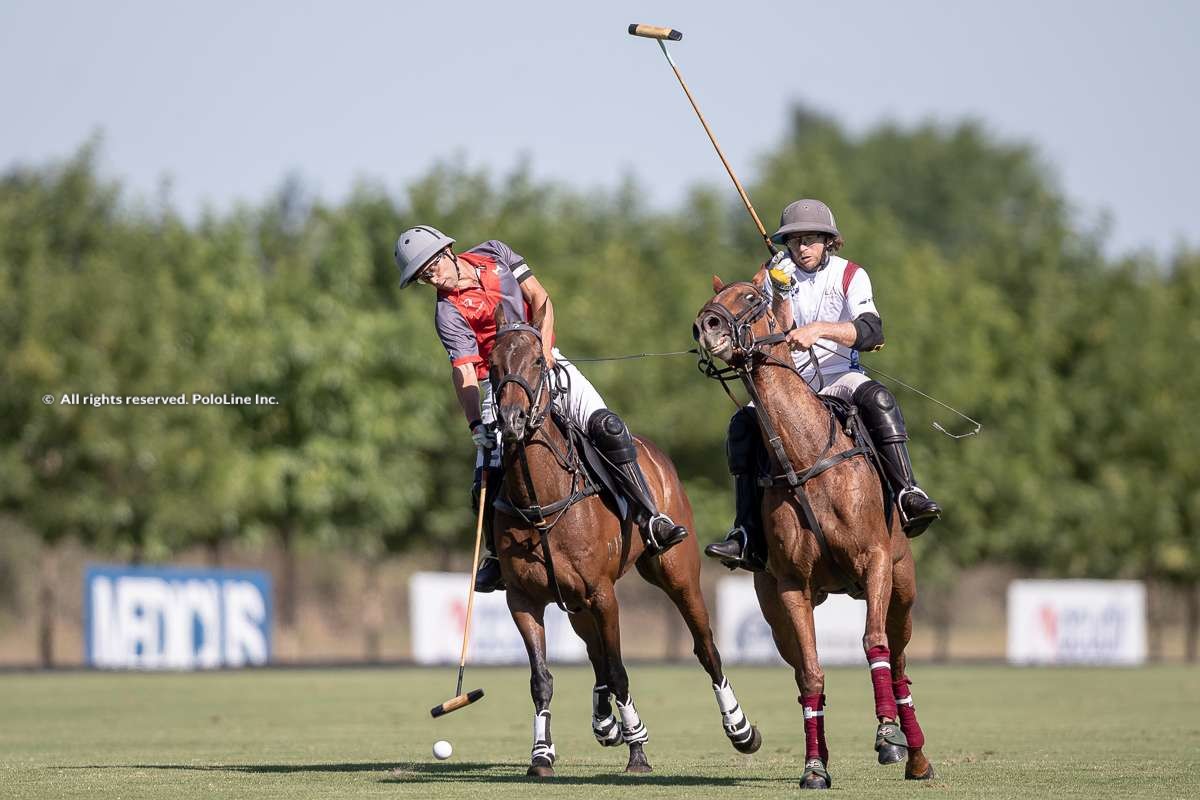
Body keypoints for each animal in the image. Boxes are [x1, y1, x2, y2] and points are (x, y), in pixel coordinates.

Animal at [484, 303, 758, 777]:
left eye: (537, 361)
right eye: (493, 365)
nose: (513, 422)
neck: (543, 500)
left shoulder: (603, 593)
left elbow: (619, 671)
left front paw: (638, 752)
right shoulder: (522, 600)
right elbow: (543, 679)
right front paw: (541, 754)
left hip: (675, 572)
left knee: (705, 648)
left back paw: (739, 728)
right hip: (574, 602)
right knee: (594, 653)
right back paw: (604, 722)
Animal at [696, 275, 936, 786]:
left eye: (752, 297)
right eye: (716, 298)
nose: (706, 326)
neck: (806, 456)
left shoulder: (875, 562)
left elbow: (873, 645)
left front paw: (888, 736)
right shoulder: (790, 586)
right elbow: (811, 673)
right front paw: (813, 768)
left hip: (902, 590)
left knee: (899, 661)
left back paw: (915, 753)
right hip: (775, 611)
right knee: (804, 673)